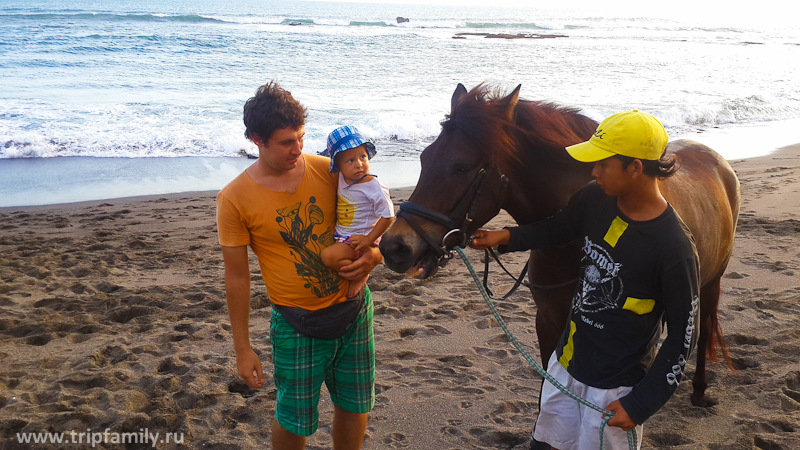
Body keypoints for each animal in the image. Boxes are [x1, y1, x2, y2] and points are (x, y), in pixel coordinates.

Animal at [378, 83, 740, 408]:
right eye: (424, 157)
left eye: (461, 167)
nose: (394, 247)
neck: (571, 242)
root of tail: (715, 159)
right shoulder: (549, 320)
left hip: (710, 283)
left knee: (705, 326)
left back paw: (699, 388)